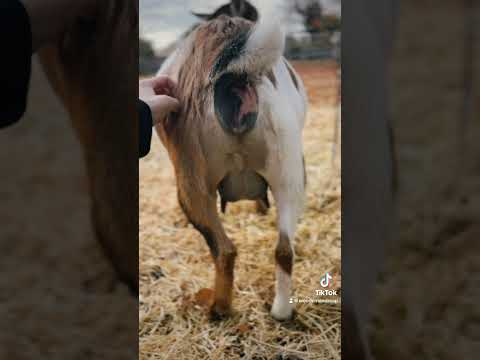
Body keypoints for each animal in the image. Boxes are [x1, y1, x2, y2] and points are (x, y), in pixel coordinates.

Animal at [158, 15, 308, 320]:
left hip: (191, 187)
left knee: (226, 251)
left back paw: (220, 309)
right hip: (288, 176)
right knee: (283, 250)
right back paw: (279, 312)